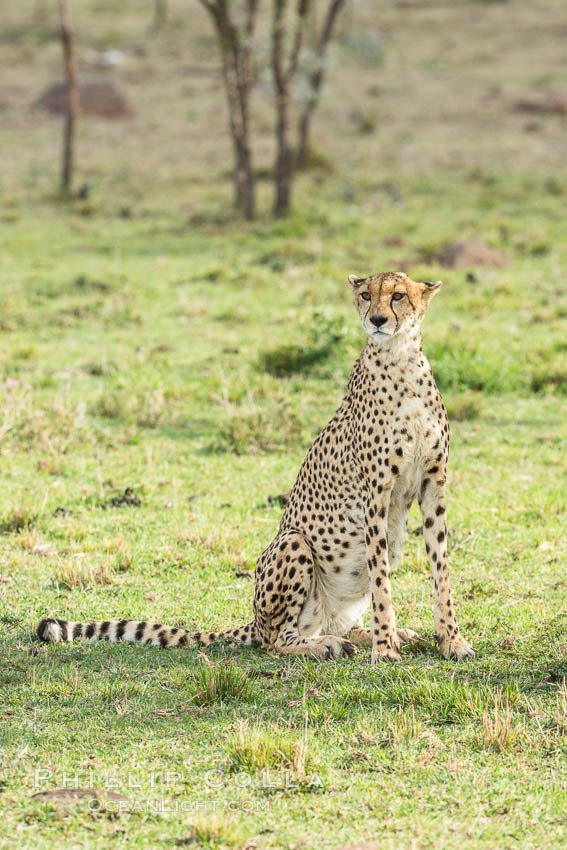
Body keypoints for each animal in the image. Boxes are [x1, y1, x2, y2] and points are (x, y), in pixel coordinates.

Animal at [37, 272, 474, 664]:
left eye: (398, 295)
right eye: (366, 295)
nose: (378, 319)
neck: (401, 361)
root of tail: (254, 620)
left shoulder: (433, 484)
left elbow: (441, 569)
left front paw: (450, 640)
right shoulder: (376, 493)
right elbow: (382, 582)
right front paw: (384, 649)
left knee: (337, 624)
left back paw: (377, 633)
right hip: (293, 543)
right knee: (276, 640)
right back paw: (327, 645)